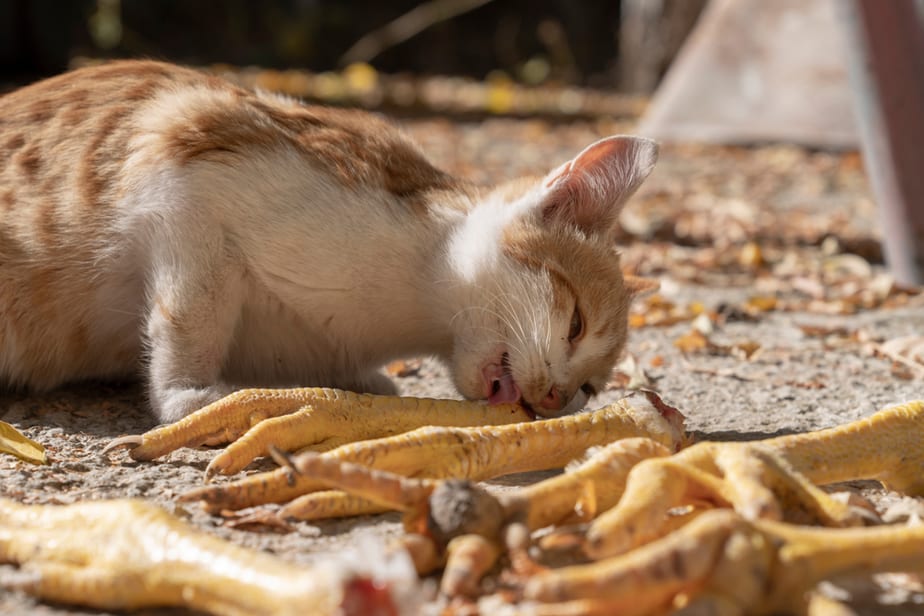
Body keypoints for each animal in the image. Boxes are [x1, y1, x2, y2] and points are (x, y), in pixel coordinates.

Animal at [1, 59, 664, 424]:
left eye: (589, 389)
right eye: (575, 324)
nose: (553, 397)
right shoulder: (181, 161)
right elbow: (192, 311)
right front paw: (188, 393)